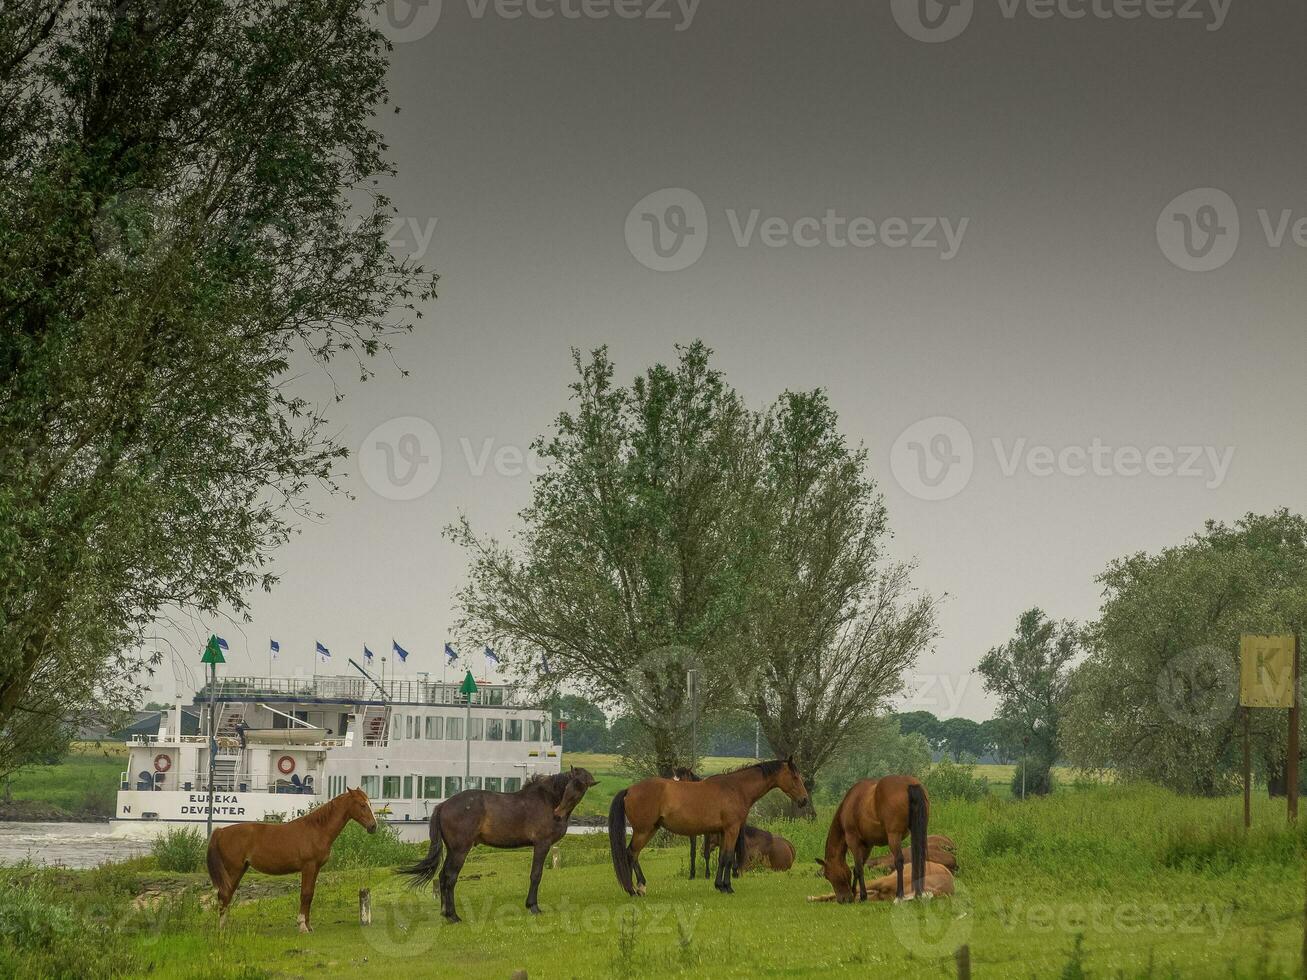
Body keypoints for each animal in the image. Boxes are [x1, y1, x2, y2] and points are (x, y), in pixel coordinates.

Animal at [205, 789, 379, 930]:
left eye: (369, 803)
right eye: (362, 805)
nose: (373, 826)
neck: (317, 829)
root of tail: (221, 831)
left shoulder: (315, 868)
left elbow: (310, 895)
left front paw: (308, 925)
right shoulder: (308, 867)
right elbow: (305, 894)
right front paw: (302, 925)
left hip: (240, 870)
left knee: (226, 895)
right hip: (233, 870)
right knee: (224, 895)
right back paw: (222, 928)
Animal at [399, 773, 598, 925]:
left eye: (580, 788)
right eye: (568, 787)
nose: (558, 813)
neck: (547, 800)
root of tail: (443, 805)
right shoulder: (542, 844)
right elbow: (536, 874)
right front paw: (533, 906)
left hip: (453, 850)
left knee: (442, 876)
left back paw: (445, 913)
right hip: (460, 850)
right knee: (450, 878)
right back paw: (453, 916)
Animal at [609, 757, 805, 898]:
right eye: (795, 777)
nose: (804, 800)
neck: (735, 788)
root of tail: (630, 789)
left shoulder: (722, 832)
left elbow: (722, 858)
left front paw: (720, 885)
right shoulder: (732, 830)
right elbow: (728, 857)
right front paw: (727, 887)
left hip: (650, 830)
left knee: (633, 855)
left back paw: (637, 888)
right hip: (643, 831)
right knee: (630, 853)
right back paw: (635, 889)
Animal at [815, 773, 930, 904]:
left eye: (827, 875)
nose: (842, 900)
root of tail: (909, 784)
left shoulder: (853, 842)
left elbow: (859, 868)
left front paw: (862, 896)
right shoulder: (867, 846)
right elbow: (857, 868)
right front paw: (855, 893)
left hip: (894, 836)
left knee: (899, 861)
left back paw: (899, 895)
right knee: (919, 858)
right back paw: (918, 893)